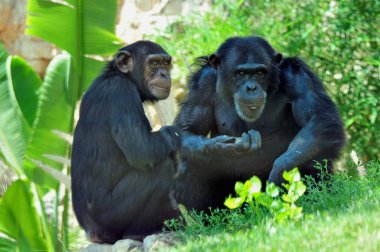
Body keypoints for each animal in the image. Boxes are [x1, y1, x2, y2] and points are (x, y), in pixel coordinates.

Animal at [72, 40, 183, 243]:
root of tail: (92, 234)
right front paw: (176, 135)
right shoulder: (121, 93)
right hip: (113, 216)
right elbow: (141, 148)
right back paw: (139, 233)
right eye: (154, 63)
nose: (164, 74)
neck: (121, 76)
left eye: (165, 63)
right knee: (162, 167)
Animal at [174, 36, 346, 211]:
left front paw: (280, 173)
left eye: (259, 73)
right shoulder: (203, 82)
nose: (251, 87)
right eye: (241, 73)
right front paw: (220, 147)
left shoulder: (298, 77)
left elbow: (318, 118)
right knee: (190, 160)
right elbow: (187, 129)